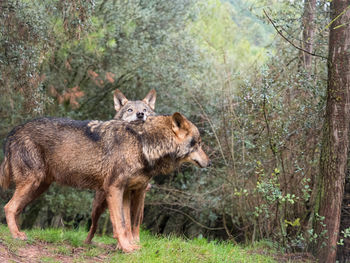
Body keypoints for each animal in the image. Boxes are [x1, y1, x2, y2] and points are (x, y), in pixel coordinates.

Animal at [0, 113, 211, 254]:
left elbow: (127, 225)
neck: (143, 142)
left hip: (39, 188)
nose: (209, 163)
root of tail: (13, 131)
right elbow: (120, 224)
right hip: (34, 184)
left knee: (14, 209)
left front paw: (129, 246)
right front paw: (127, 249)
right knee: (8, 207)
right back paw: (16, 236)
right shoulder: (114, 189)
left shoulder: (126, 192)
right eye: (198, 143)